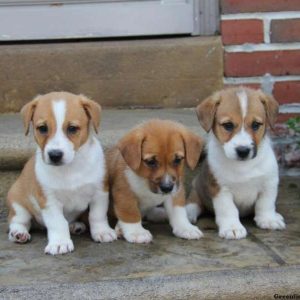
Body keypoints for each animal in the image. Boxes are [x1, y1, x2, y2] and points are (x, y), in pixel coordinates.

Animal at [6, 92, 117, 255]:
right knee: (18, 222)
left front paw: (102, 232)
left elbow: (97, 215)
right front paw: (59, 242)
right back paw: (19, 234)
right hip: (18, 206)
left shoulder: (100, 192)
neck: (70, 168)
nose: (55, 155)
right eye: (42, 128)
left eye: (72, 128)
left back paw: (75, 226)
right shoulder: (49, 201)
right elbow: (58, 223)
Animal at [186, 86, 288, 239]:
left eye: (256, 125)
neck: (243, 166)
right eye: (228, 125)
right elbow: (228, 209)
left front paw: (268, 219)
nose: (243, 151)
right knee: (194, 202)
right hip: (197, 187)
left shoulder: (269, 183)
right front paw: (232, 227)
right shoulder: (220, 189)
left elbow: (265, 204)